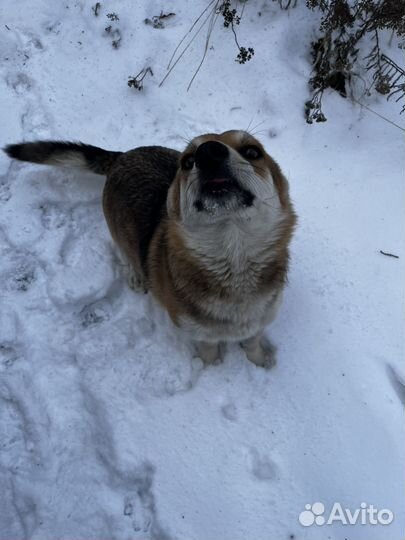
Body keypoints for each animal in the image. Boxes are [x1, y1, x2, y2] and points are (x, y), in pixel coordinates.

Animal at [4, 131, 296, 368]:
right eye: (188, 162)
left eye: (252, 152)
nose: (209, 152)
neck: (234, 259)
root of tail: (122, 156)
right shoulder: (194, 328)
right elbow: (209, 346)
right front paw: (211, 365)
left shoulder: (261, 320)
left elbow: (253, 341)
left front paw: (260, 361)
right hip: (118, 231)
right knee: (125, 252)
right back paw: (135, 276)